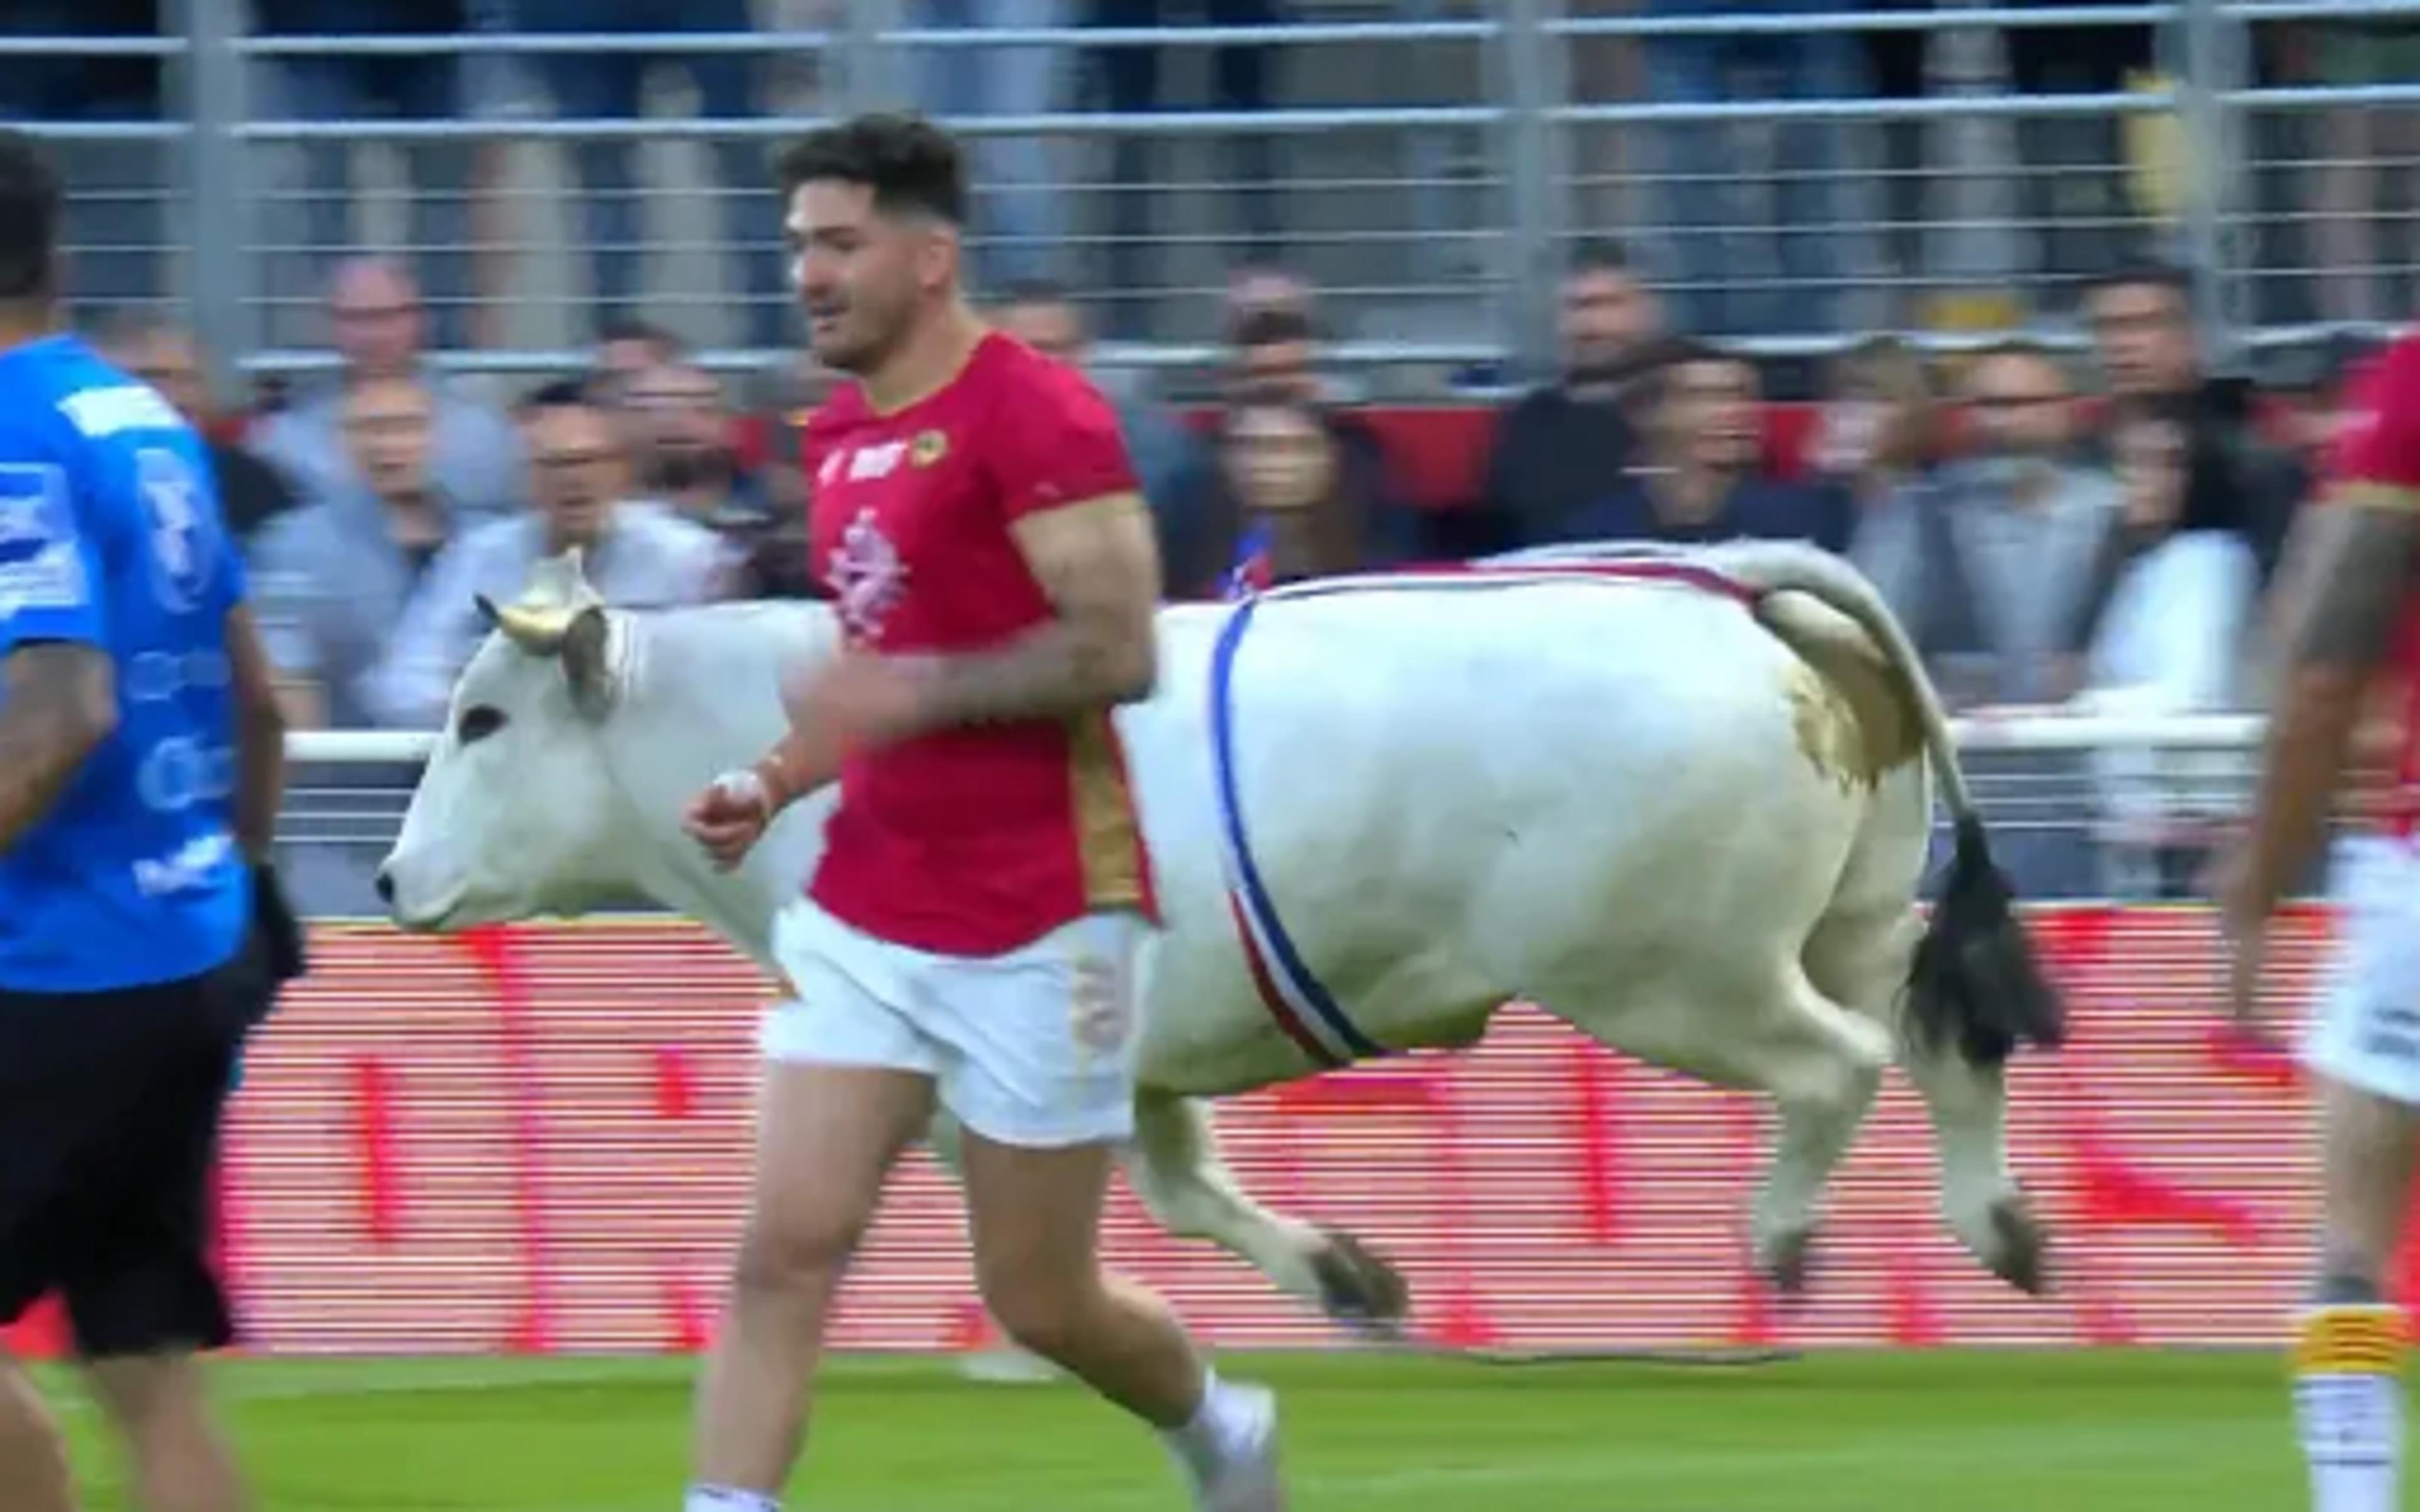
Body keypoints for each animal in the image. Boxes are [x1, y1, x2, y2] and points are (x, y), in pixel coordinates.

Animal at [372, 537, 2061, 1326]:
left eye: (481, 718)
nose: (389, 881)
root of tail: (1727, 589)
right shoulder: (1142, 1062)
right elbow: (1187, 1192)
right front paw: (1345, 1274)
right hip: (1842, 920)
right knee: (1937, 1035)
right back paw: (2002, 1226)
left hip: (1672, 975)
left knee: (1837, 1064)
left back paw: (1781, 1239)